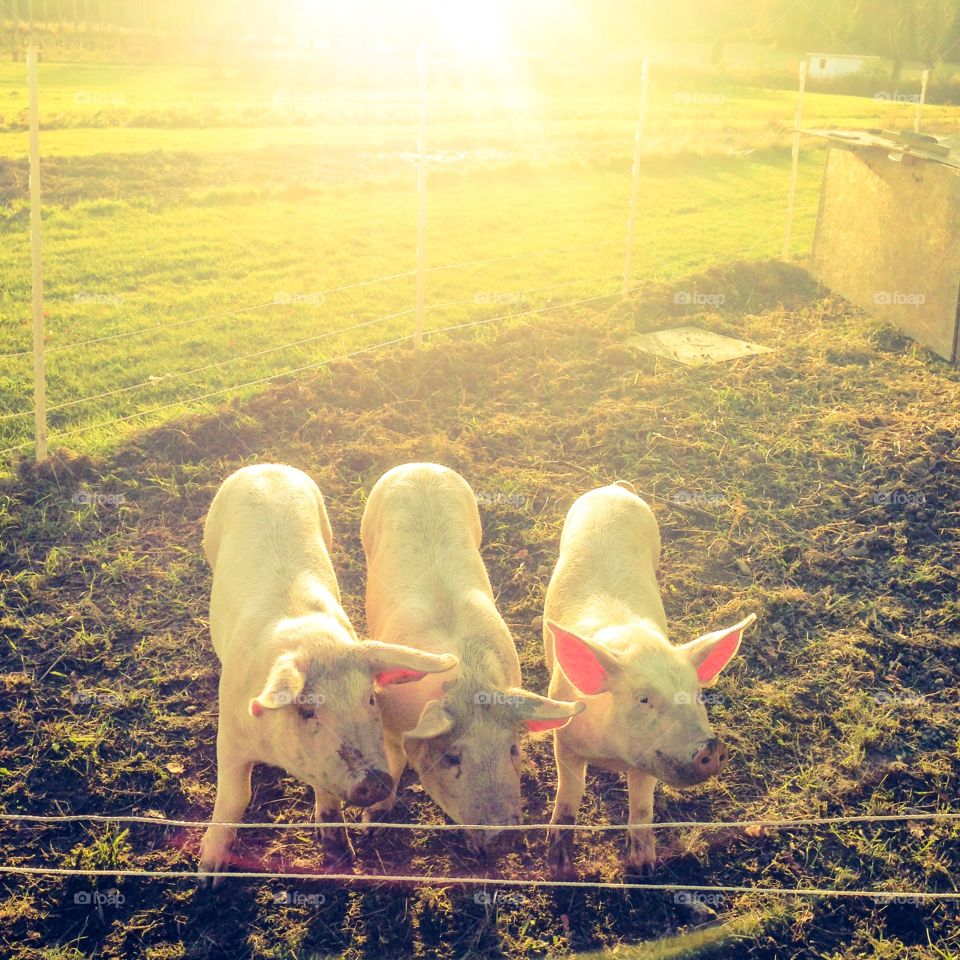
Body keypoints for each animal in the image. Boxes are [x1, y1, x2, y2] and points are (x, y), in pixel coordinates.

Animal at [198, 463, 457, 882]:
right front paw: (208, 876)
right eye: (307, 710)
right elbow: (236, 797)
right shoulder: (231, 734)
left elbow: (328, 795)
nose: (374, 781)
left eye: (371, 699)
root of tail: (267, 466)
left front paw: (341, 854)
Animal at [360, 463, 583, 856]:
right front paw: (369, 824)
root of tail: (419, 465)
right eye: (452, 757)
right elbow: (394, 762)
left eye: (512, 749)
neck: (467, 680)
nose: (501, 835)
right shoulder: (388, 715)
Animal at [542, 481, 755, 878]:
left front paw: (642, 869)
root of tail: (614, 488)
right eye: (643, 699)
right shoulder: (565, 741)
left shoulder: (650, 759)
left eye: (696, 695)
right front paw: (560, 870)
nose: (711, 746)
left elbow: (642, 806)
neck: (610, 755)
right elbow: (569, 795)